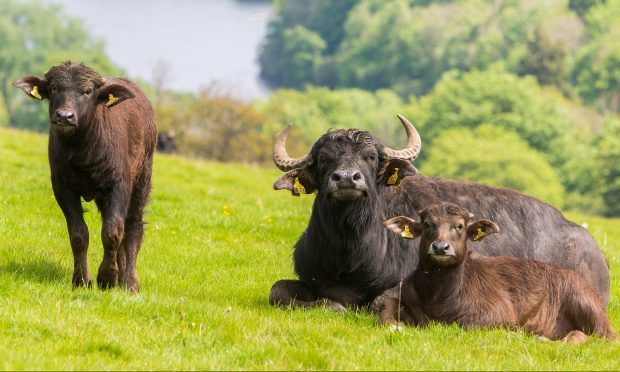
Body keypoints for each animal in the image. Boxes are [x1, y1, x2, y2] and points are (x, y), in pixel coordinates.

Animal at [14, 62, 156, 292]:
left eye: (88, 91)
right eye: (54, 87)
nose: (65, 116)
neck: (83, 150)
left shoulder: (119, 185)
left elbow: (112, 231)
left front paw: (107, 277)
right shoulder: (63, 189)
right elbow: (79, 234)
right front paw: (81, 280)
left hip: (142, 179)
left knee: (133, 226)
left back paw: (129, 282)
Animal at [268, 115, 608, 310]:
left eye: (370, 157)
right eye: (324, 159)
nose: (347, 179)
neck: (349, 254)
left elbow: (372, 302)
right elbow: (278, 291)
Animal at [378, 202, 616, 344]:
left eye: (460, 226)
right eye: (428, 224)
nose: (440, 247)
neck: (438, 295)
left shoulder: (497, 313)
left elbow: (467, 324)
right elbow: (386, 308)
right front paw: (397, 325)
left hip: (585, 305)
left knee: (605, 337)